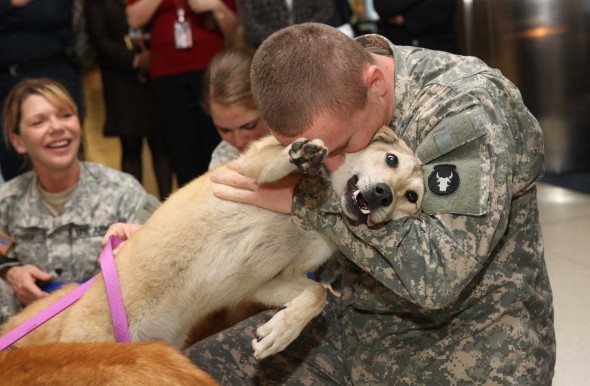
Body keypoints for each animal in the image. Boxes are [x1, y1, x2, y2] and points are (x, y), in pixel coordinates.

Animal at [1, 126, 426, 358]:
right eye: (390, 159)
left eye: (412, 197)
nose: (384, 195)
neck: (310, 216)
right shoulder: (247, 169)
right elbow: (274, 158)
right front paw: (301, 156)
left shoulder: (266, 283)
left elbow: (316, 294)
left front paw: (281, 332)